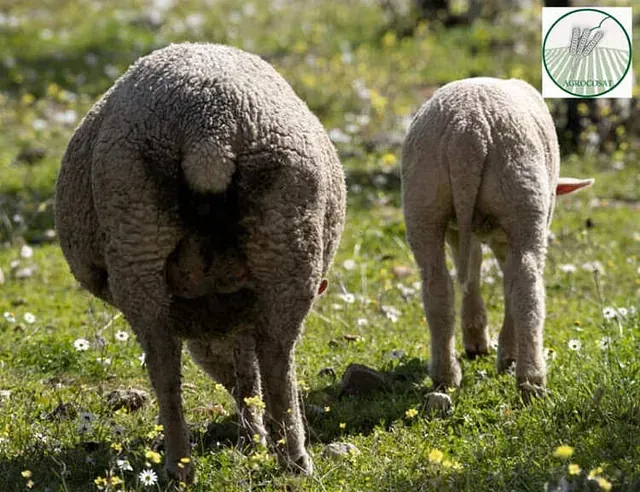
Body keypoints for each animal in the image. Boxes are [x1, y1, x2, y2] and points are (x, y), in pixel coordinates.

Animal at [55, 42, 346, 482]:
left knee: (163, 367)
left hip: (135, 234)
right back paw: (292, 461)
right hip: (287, 237)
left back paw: (179, 465)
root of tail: (211, 129)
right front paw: (254, 438)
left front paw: (251, 438)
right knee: (278, 360)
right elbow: (249, 375)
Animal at [401, 77, 593, 399]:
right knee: (526, 285)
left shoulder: (459, 229)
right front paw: (506, 352)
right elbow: (507, 280)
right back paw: (531, 379)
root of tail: (468, 132)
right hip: (523, 196)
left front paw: (477, 339)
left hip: (423, 197)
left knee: (437, 284)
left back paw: (445, 375)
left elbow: (473, 266)